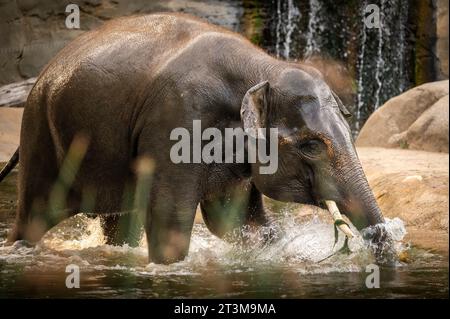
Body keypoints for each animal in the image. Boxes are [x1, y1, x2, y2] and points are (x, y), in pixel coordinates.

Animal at [0, 13, 390, 264]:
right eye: (311, 146)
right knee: (34, 215)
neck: (263, 66)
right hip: (41, 134)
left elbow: (235, 222)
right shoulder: (177, 117)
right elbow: (170, 221)